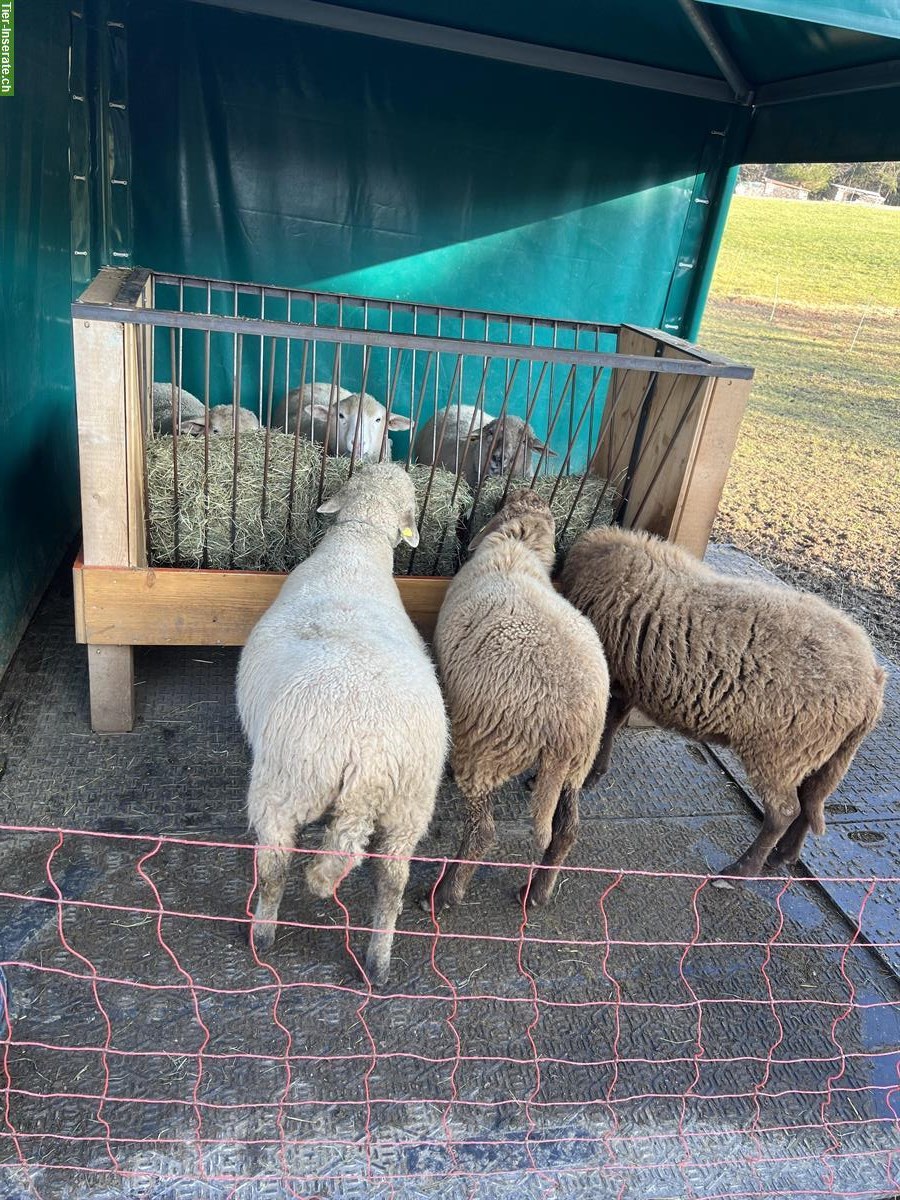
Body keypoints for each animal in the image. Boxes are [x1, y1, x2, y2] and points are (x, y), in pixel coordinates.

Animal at [427, 487, 609, 907]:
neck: (518, 544)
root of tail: (566, 729)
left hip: (486, 751)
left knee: (483, 832)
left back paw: (446, 893)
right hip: (579, 763)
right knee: (567, 829)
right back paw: (538, 891)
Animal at [564, 530, 888, 878]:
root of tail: (871, 682)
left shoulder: (616, 673)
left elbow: (608, 721)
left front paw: (591, 773)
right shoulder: (628, 680)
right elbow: (612, 722)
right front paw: (598, 771)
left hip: (781, 753)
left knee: (784, 811)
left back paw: (741, 870)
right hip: (825, 756)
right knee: (810, 802)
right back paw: (783, 856)